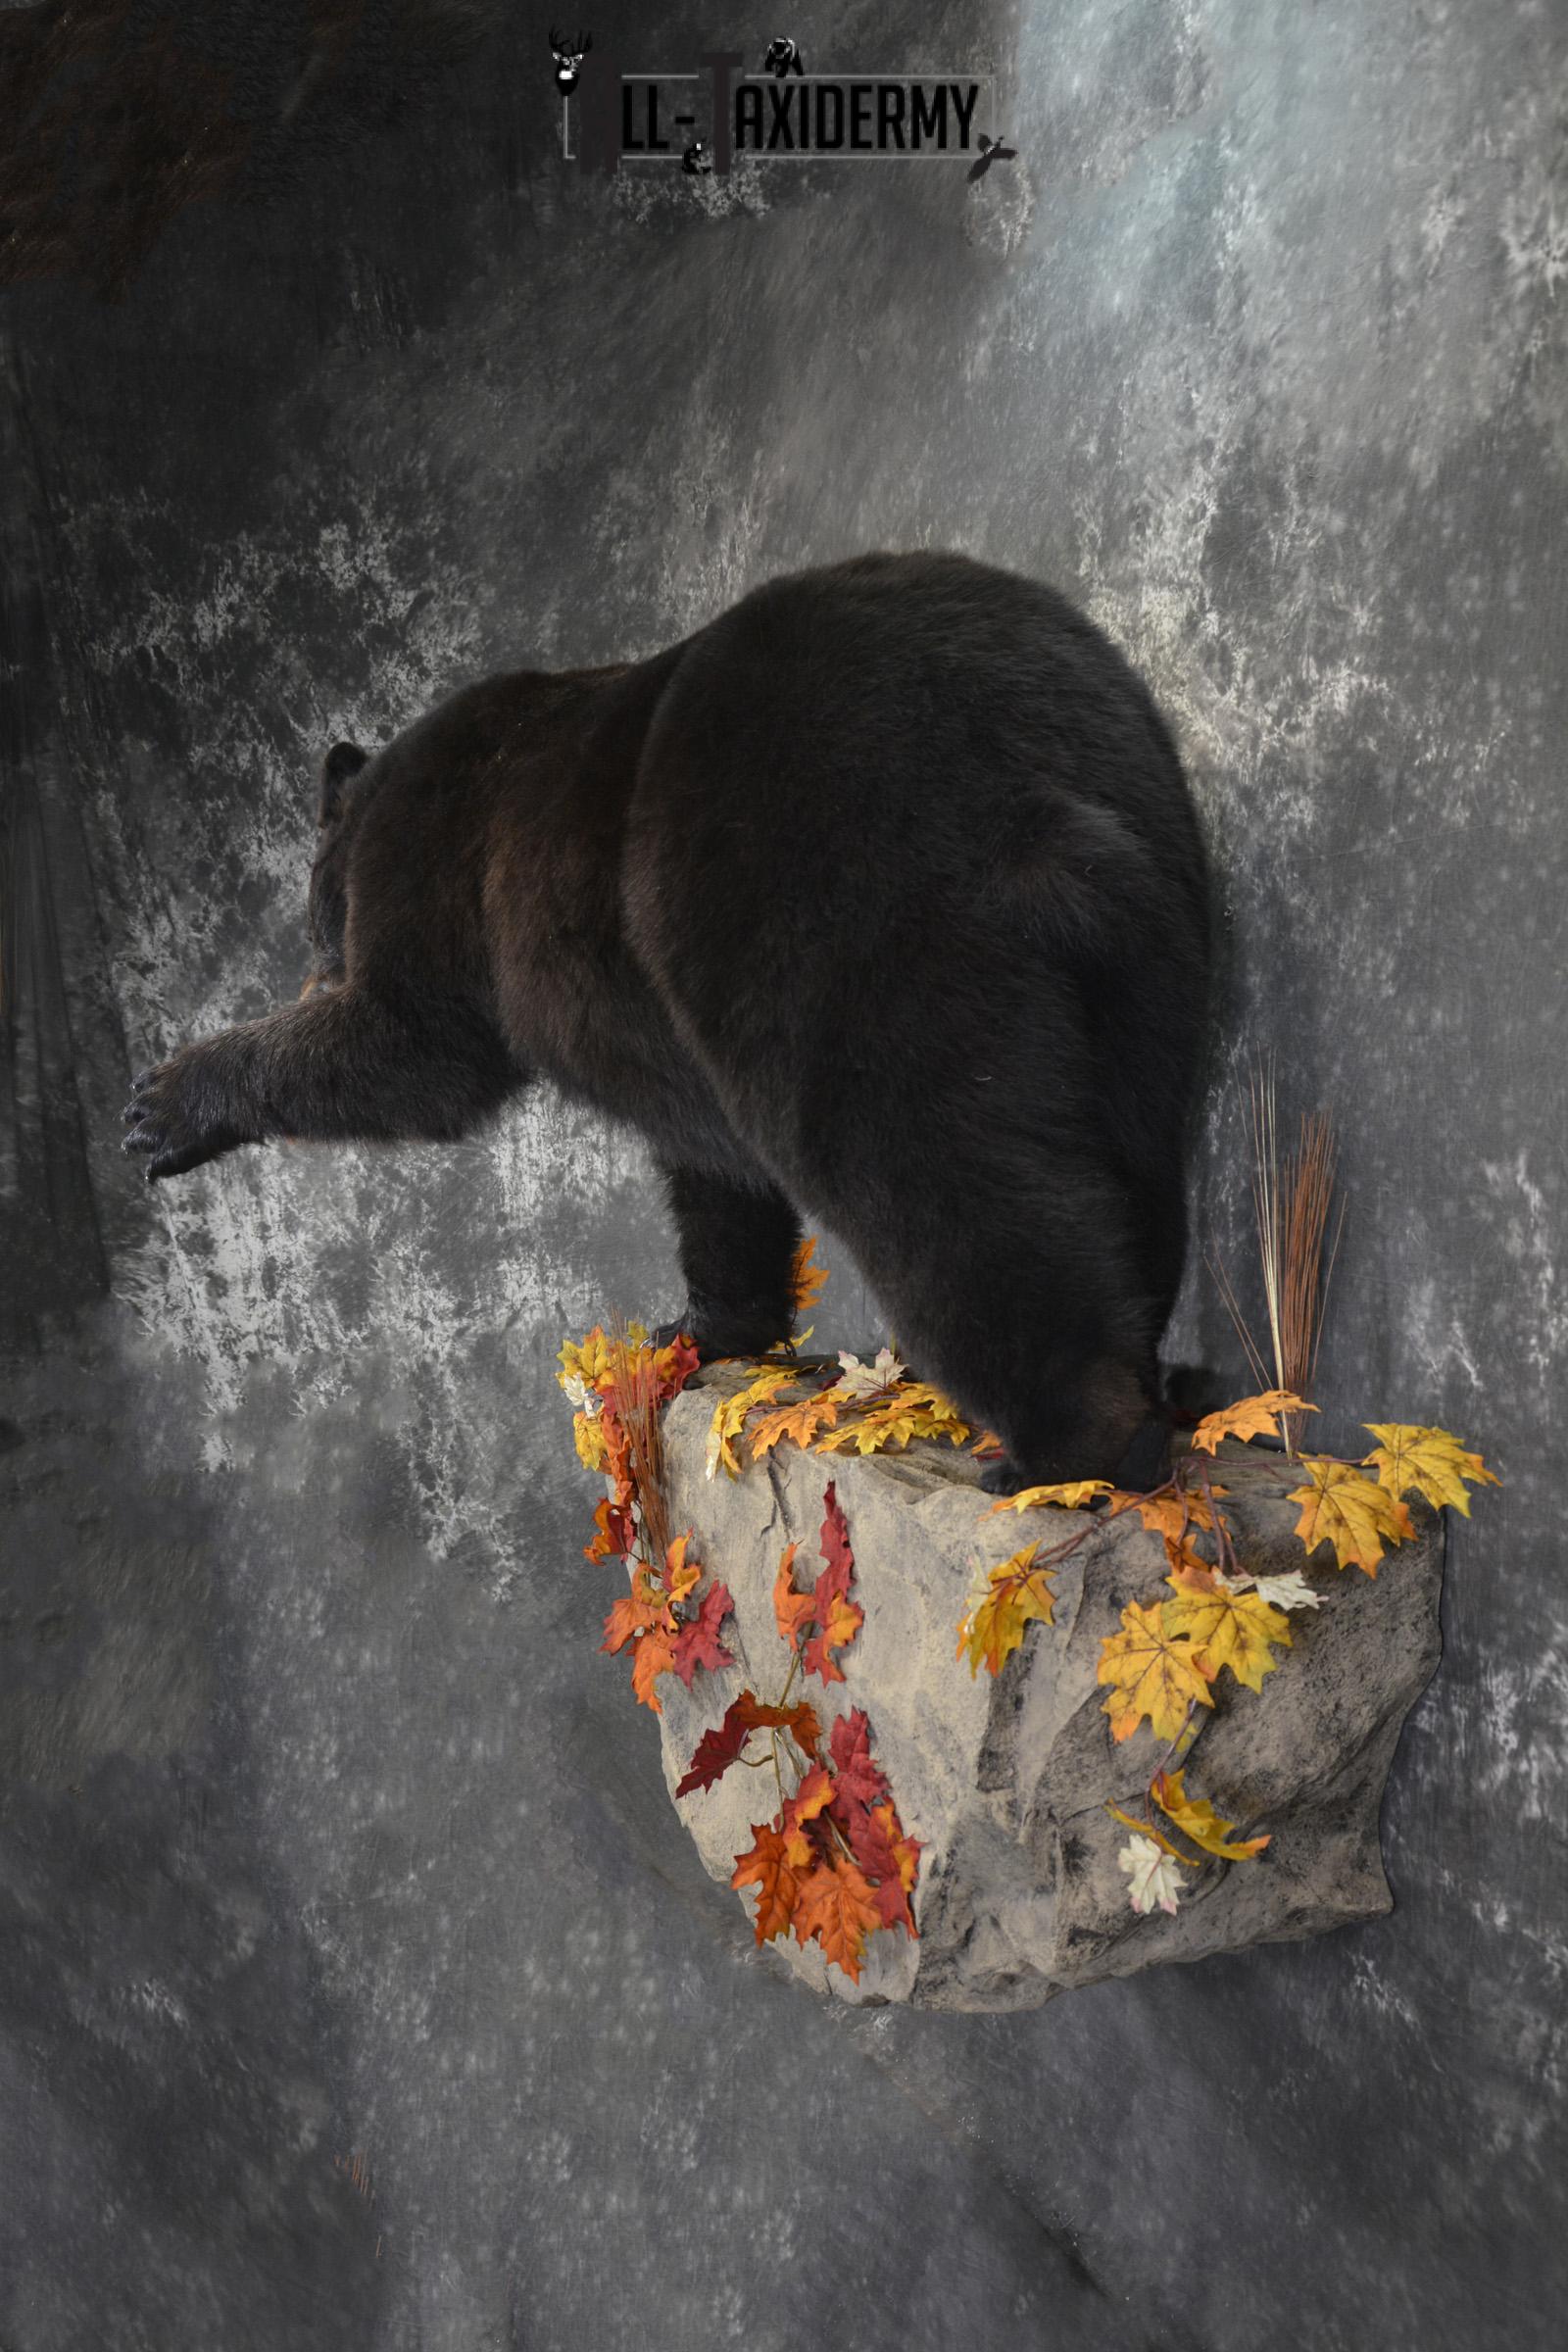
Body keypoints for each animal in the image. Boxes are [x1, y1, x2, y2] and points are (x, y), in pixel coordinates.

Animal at [123, 550, 1213, 1490]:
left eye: (314, 911)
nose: (312, 968)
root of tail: (1009, 774)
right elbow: (715, 1177)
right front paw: (699, 1330)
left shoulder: (439, 858)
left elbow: (413, 1046)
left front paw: (163, 1104)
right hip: (1146, 898)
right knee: (1134, 1147)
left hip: (834, 902)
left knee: (936, 1163)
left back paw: (1066, 1448)